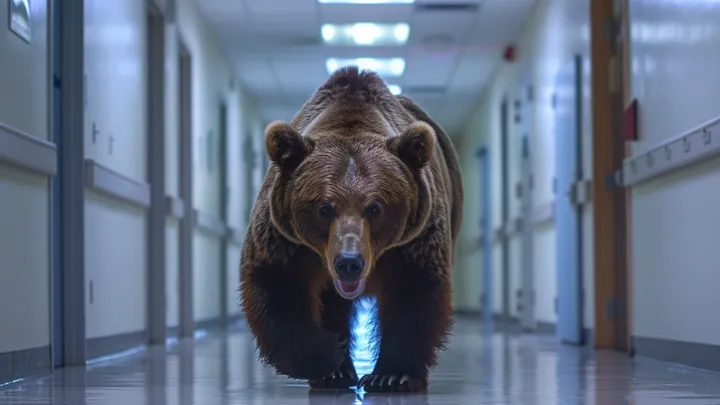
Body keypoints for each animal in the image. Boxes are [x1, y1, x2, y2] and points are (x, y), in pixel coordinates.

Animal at [239, 65, 463, 394]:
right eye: (324, 208)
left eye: (375, 208)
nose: (349, 262)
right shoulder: (285, 240)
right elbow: (277, 287)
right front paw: (328, 355)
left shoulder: (414, 242)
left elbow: (415, 295)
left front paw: (392, 375)